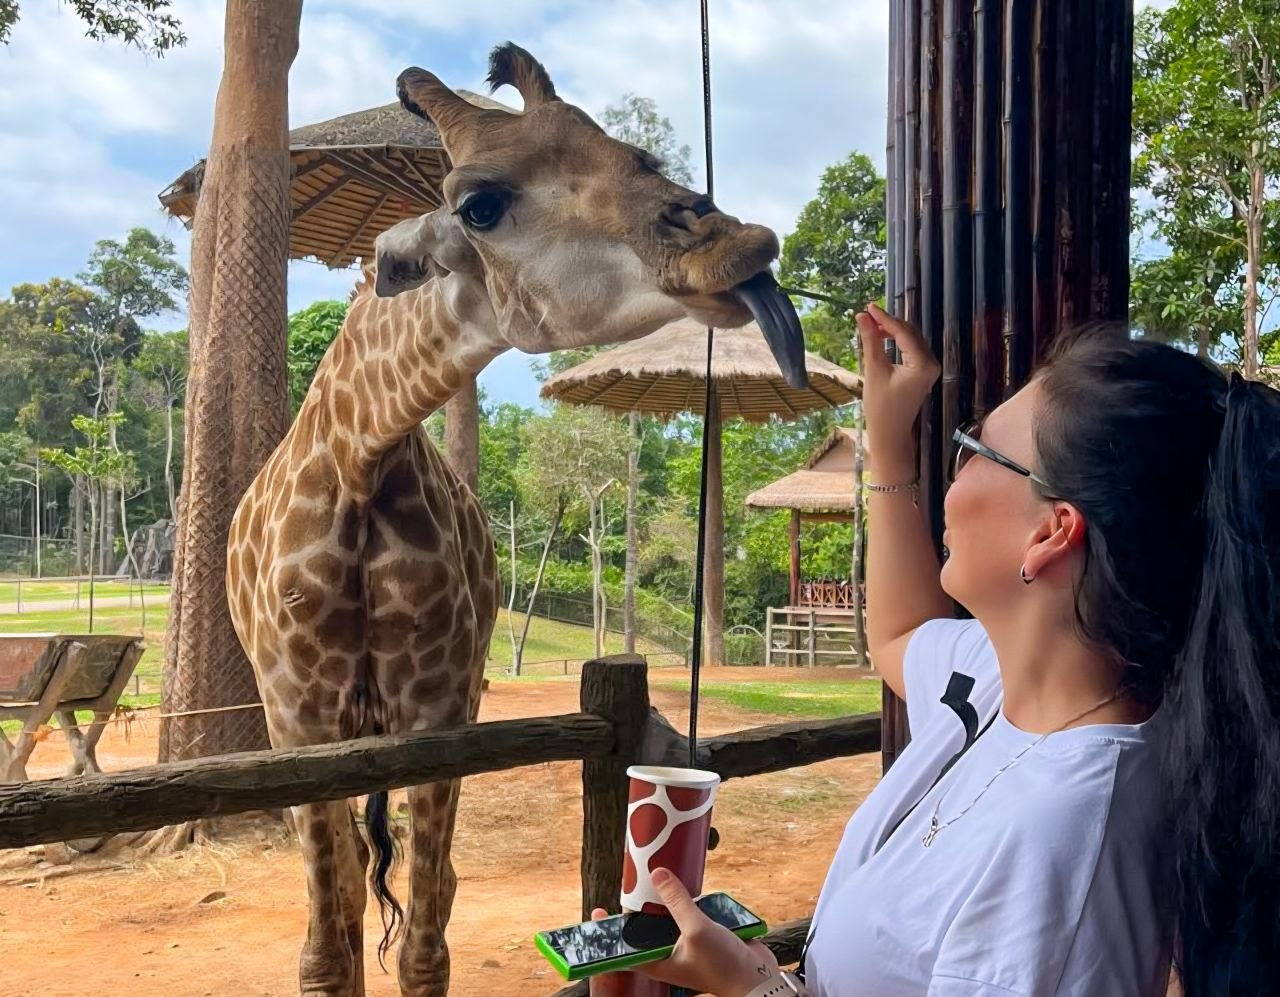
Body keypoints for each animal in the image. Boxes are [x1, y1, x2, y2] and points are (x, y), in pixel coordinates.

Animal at [225, 42, 807, 997]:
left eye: (632, 150)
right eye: (480, 207)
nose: (737, 242)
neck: (358, 462)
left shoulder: (439, 711)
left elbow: (425, 948)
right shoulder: (295, 718)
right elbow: (328, 949)